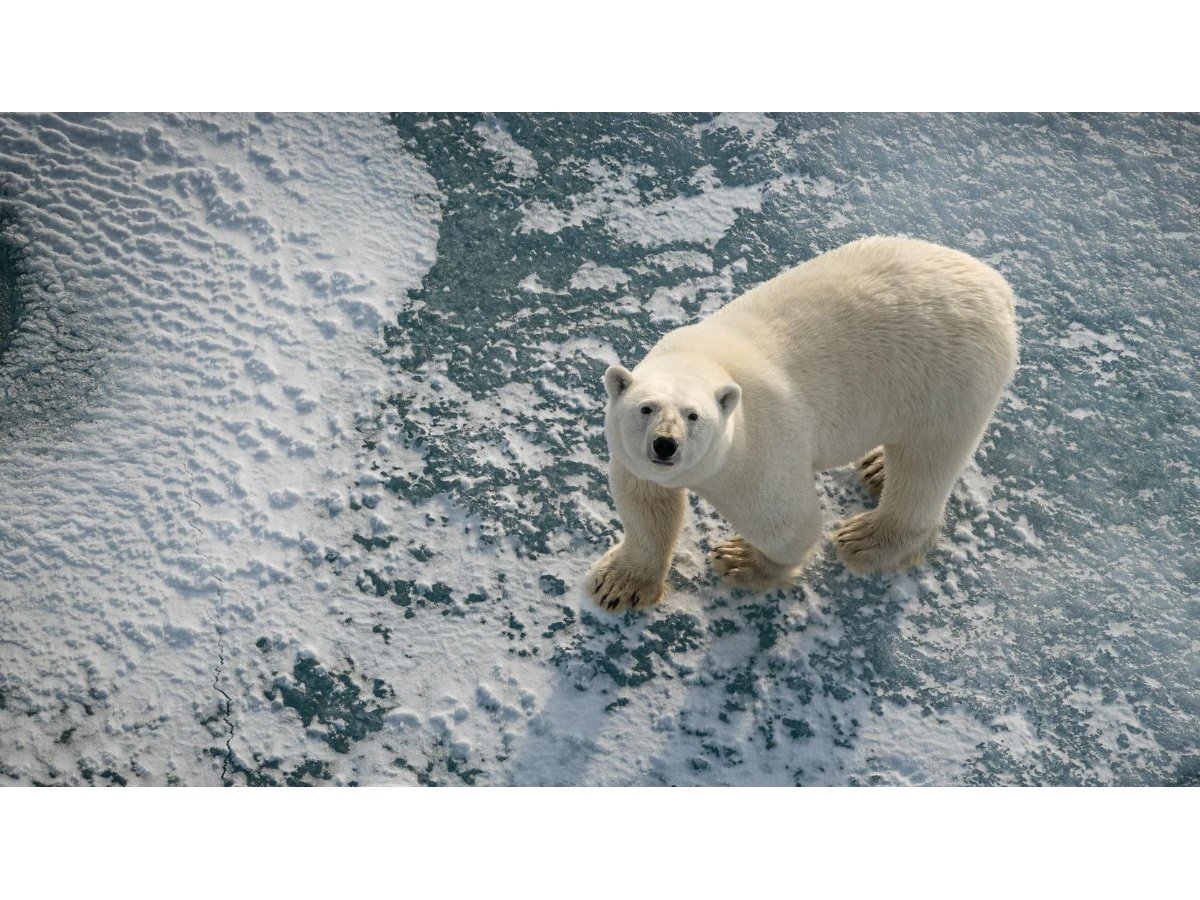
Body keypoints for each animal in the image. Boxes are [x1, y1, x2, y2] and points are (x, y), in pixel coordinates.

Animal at [586, 235, 1018, 612]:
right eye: (646, 408)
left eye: (694, 415)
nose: (665, 444)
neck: (704, 360)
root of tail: (997, 285)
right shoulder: (638, 461)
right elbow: (645, 503)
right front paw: (617, 585)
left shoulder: (760, 445)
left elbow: (787, 523)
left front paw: (742, 559)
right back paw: (877, 466)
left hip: (948, 379)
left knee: (926, 462)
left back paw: (866, 538)